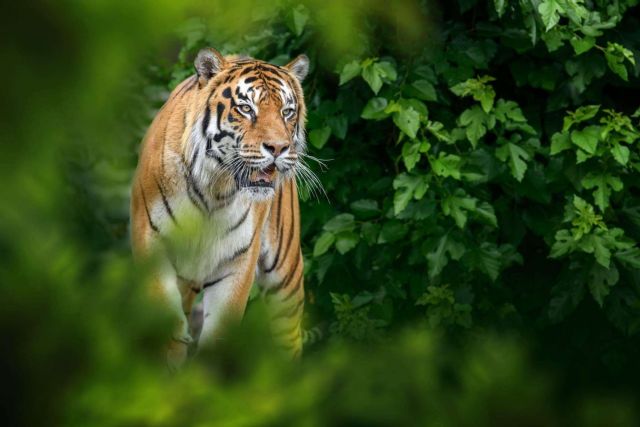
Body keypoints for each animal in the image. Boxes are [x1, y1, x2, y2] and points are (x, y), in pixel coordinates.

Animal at [130, 46, 310, 368]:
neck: (214, 189)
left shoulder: (237, 261)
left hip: (285, 276)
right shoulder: (152, 244)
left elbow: (218, 336)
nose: (279, 148)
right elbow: (169, 331)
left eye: (287, 111)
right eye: (246, 108)